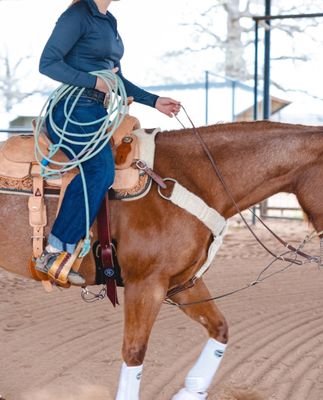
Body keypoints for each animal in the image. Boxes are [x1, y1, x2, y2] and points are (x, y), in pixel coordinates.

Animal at [0, 120, 323, 398]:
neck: (193, 179)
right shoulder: (146, 284)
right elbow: (134, 352)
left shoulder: (182, 283)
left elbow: (219, 329)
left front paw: (190, 392)